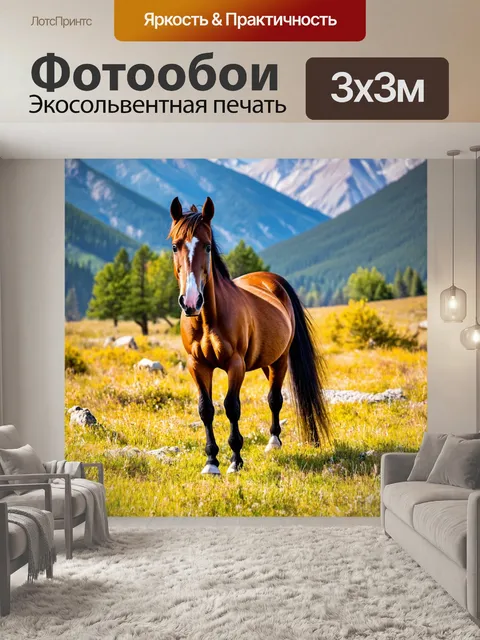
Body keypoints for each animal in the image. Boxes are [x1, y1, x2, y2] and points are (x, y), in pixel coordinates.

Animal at [168, 196, 329, 475]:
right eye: (175, 246)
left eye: (208, 247)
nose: (191, 301)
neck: (208, 319)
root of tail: (271, 280)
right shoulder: (197, 365)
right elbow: (205, 409)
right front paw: (211, 462)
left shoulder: (236, 365)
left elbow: (232, 407)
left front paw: (235, 460)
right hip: (266, 361)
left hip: (280, 360)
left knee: (275, 398)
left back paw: (274, 442)